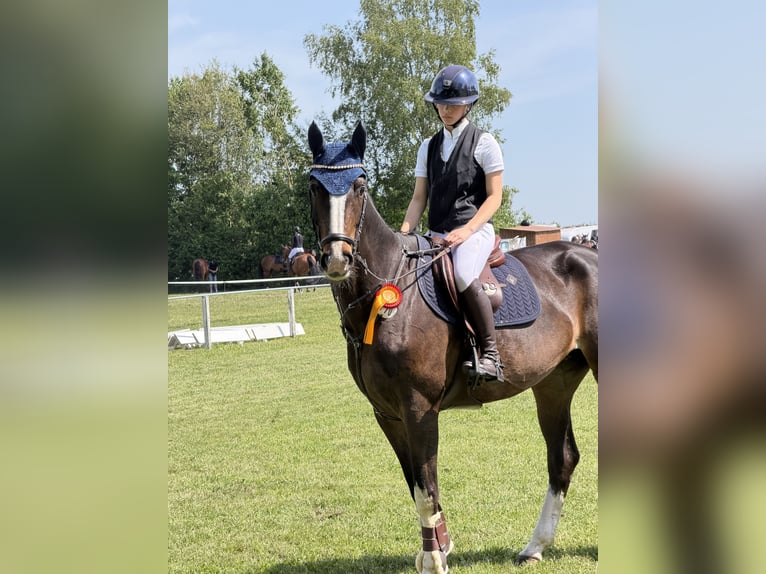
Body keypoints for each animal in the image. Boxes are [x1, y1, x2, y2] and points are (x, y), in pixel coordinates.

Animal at [307, 121, 598, 573]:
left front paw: (434, 559)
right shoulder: (388, 414)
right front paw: (438, 547)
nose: (338, 259)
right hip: (554, 383)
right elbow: (416, 486)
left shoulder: (419, 408)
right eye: (314, 188)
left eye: (359, 185)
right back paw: (535, 546)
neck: (387, 296)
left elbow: (427, 489)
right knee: (562, 456)